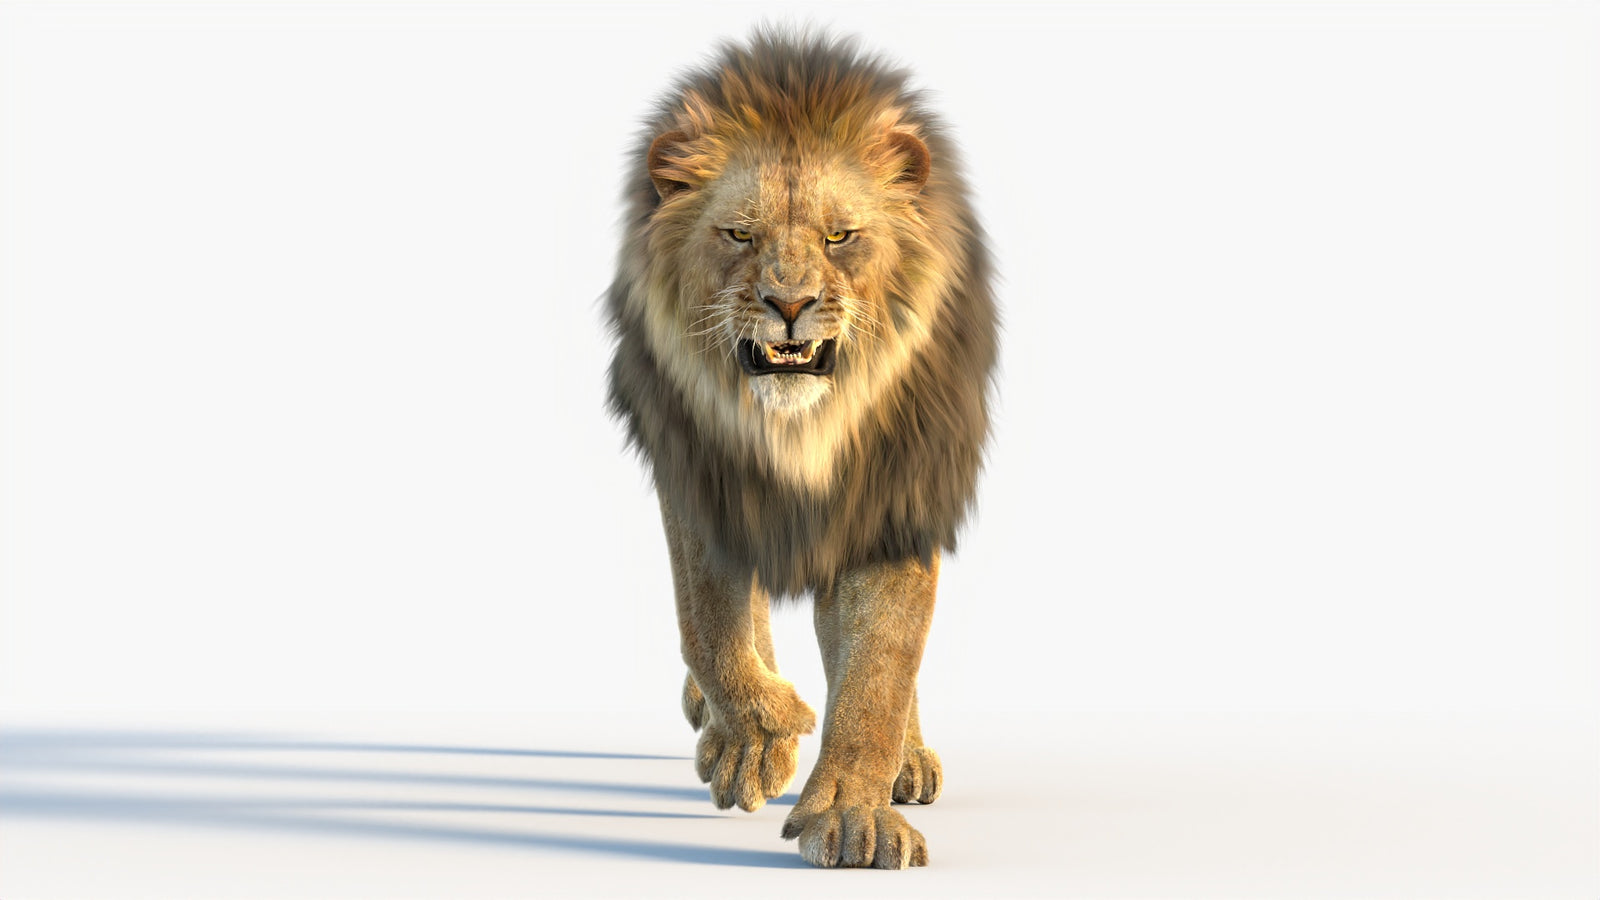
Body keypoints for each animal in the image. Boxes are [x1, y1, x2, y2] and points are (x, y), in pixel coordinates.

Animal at [605, 29, 997, 869]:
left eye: (839, 236)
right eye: (740, 234)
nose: (789, 304)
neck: (799, 433)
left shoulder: (896, 495)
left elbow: (880, 667)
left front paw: (853, 816)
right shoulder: (700, 474)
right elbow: (710, 621)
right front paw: (761, 737)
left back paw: (906, 763)